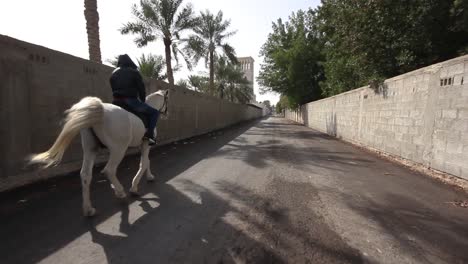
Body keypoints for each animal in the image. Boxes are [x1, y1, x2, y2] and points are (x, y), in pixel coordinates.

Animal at [29, 89, 169, 216]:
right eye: (167, 100)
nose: (166, 113)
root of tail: (101, 109)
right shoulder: (146, 145)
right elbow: (144, 163)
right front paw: (135, 187)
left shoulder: (143, 145)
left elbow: (147, 162)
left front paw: (149, 177)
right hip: (118, 149)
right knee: (109, 170)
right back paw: (120, 192)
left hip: (90, 149)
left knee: (85, 175)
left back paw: (88, 209)